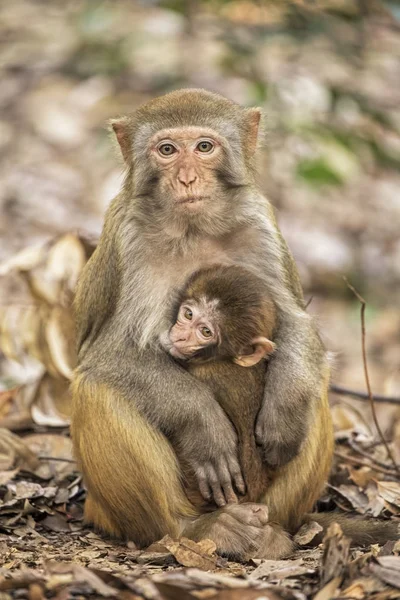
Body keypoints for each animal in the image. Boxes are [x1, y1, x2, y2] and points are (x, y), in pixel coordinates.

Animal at [72, 90, 396, 564]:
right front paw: (204, 427)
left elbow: (294, 322)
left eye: (204, 147)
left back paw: (275, 530)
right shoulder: (128, 240)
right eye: (167, 150)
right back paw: (194, 529)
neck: (193, 228)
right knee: (96, 389)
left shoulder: (259, 223)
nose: (187, 178)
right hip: (115, 511)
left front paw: (283, 414)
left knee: (315, 383)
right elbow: (105, 355)